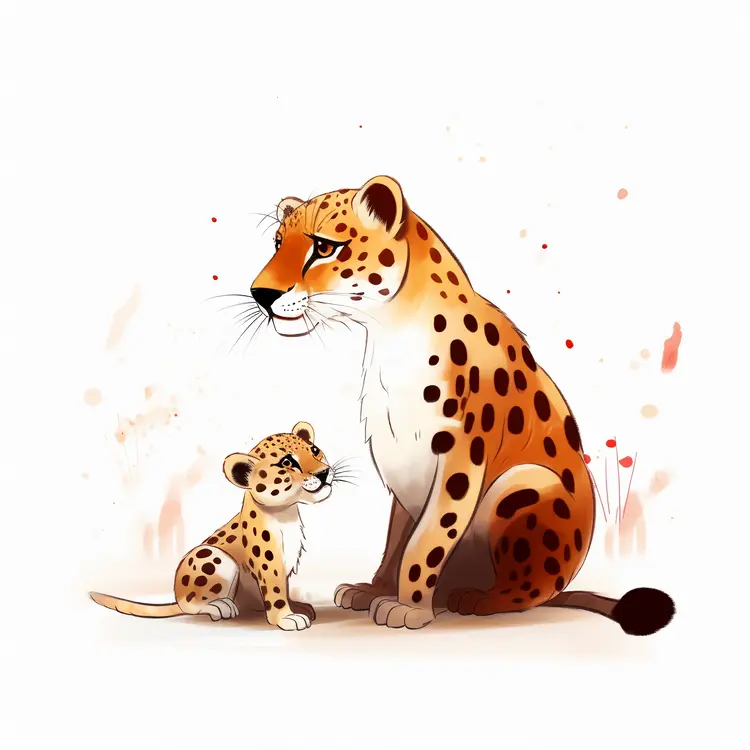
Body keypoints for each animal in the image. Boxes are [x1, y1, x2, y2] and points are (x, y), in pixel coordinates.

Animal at [90, 422, 335, 631]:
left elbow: (284, 587)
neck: (286, 514)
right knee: (189, 604)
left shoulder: (286, 563)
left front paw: (297, 607)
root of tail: (176, 595)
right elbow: (275, 590)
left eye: (314, 450)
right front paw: (286, 618)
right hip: (212, 556)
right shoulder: (269, 563)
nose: (323, 472)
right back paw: (220, 606)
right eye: (287, 463)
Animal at [244, 176, 676, 636]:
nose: (260, 294)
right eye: (277, 244)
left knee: (532, 590)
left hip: (524, 484)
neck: (391, 333)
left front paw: (408, 608)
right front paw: (375, 589)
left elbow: (428, 539)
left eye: (324, 247)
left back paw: (479, 598)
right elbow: (397, 537)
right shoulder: (403, 464)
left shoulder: (460, 459)